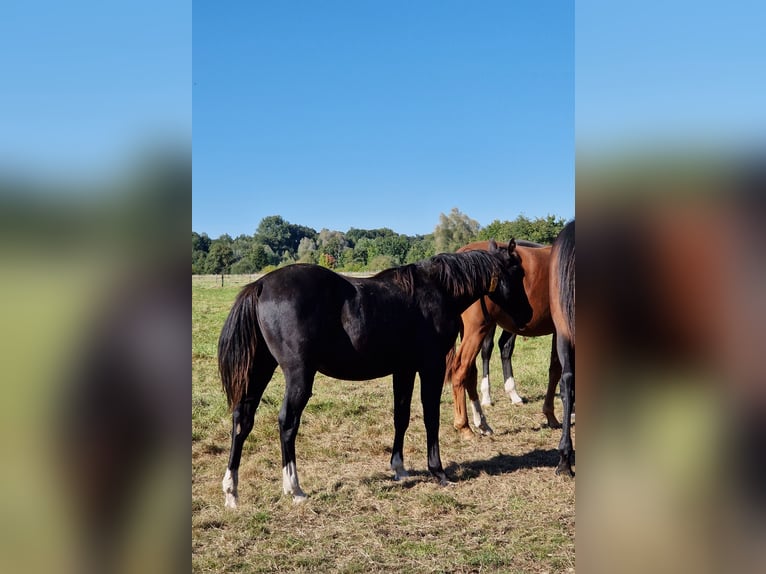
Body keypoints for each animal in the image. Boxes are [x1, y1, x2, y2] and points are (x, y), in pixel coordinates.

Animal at [218, 240, 533, 506]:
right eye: (517, 273)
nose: (528, 315)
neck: (438, 290)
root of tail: (260, 285)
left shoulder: (404, 369)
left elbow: (401, 416)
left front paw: (400, 468)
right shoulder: (431, 366)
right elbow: (430, 416)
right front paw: (439, 472)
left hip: (260, 369)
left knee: (242, 420)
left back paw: (232, 492)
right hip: (299, 375)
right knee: (287, 423)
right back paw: (294, 488)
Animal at [445, 240, 561, 439]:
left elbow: (555, 370)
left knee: (471, 372)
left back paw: (482, 423)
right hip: (478, 330)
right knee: (461, 368)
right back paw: (465, 425)